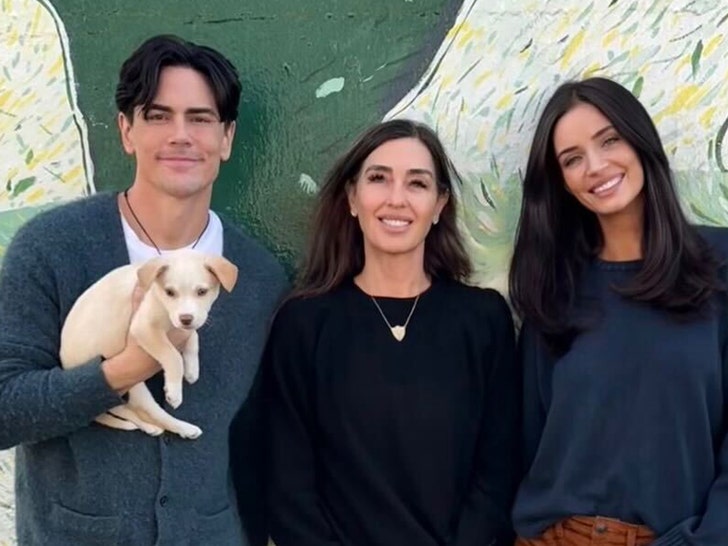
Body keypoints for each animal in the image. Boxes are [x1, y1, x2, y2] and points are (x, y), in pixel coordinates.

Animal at [60, 249, 236, 436]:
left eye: (202, 291)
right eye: (170, 292)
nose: (186, 319)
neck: (156, 295)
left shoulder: (184, 324)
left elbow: (193, 337)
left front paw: (192, 369)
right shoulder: (144, 328)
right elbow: (173, 356)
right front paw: (175, 390)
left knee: (127, 410)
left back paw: (149, 427)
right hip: (134, 385)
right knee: (149, 412)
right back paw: (185, 429)